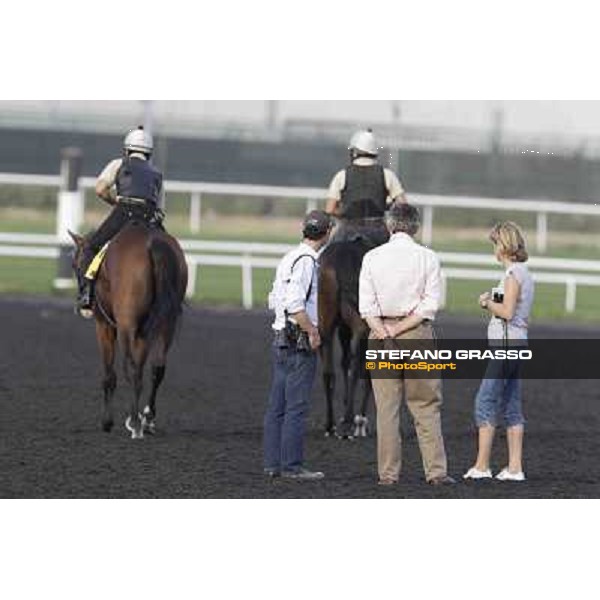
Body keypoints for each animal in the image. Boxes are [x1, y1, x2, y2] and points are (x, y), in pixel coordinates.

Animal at [69, 220, 189, 440]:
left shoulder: (104, 326)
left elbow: (109, 375)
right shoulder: (143, 332)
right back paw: (147, 419)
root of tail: (153, 244)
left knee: (132, 369)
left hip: (126, 326)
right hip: (165, 325)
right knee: (156, 368)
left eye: (75, 264)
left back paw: (135, 423)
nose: (82, 299)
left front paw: (107, 422)